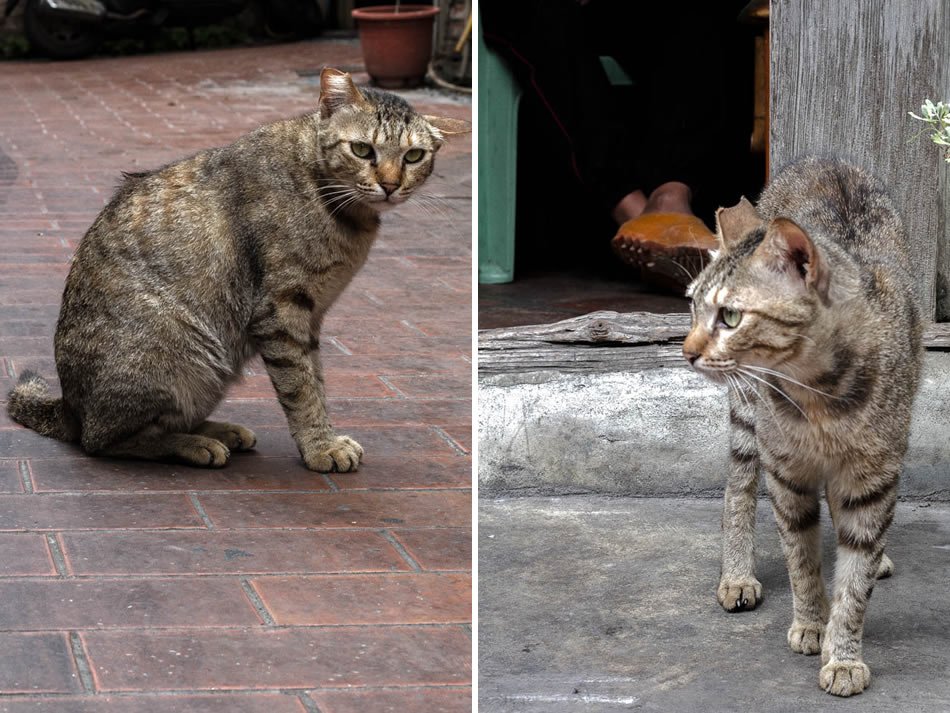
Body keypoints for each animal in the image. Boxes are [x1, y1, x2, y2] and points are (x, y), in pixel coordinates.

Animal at [7, 68, 468, 472]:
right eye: (362, 150)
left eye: (413, 156)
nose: (390, 185)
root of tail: (69, 405)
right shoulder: (281, 310)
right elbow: (300, 387)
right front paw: (319, 446)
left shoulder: (310, 316)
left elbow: (316, 379)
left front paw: (324, 436)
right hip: (181, 352)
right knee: (104, 439)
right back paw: (191, 444)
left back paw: (216, 430)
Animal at [684, 157, 924, 696]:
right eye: (692, 307)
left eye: (730, 316)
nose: (686, 351)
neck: (819, 398)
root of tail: (826, 161)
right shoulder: (786, 472)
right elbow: (801, 558)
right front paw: (813, 622)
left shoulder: (874, 477)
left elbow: (855, 577)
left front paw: (843, 650)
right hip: (746, 413)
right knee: (738, 483)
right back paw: (737, 573)